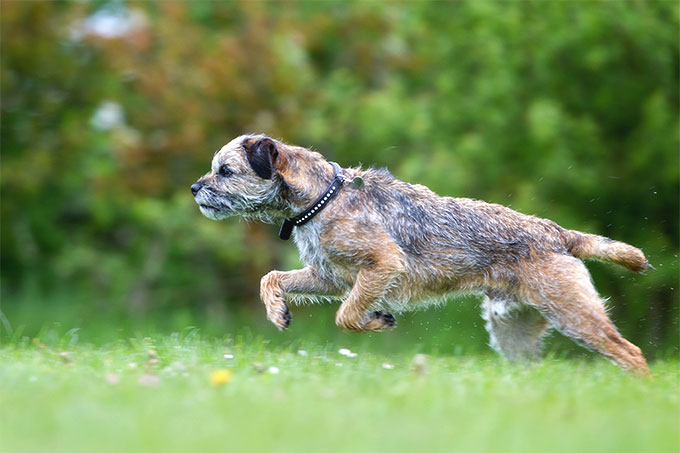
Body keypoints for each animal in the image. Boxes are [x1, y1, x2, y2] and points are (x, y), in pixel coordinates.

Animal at [191, 133, 652, 374]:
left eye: (225, 171)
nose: (195, 188)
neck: (323, 197)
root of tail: (558, 234)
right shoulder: (328, 276)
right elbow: (272, 277)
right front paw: (277, 311)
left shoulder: (381, 265)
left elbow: (346, 315)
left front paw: (376, 321)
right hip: (512, 330)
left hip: (574, 312)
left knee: (630, 352)